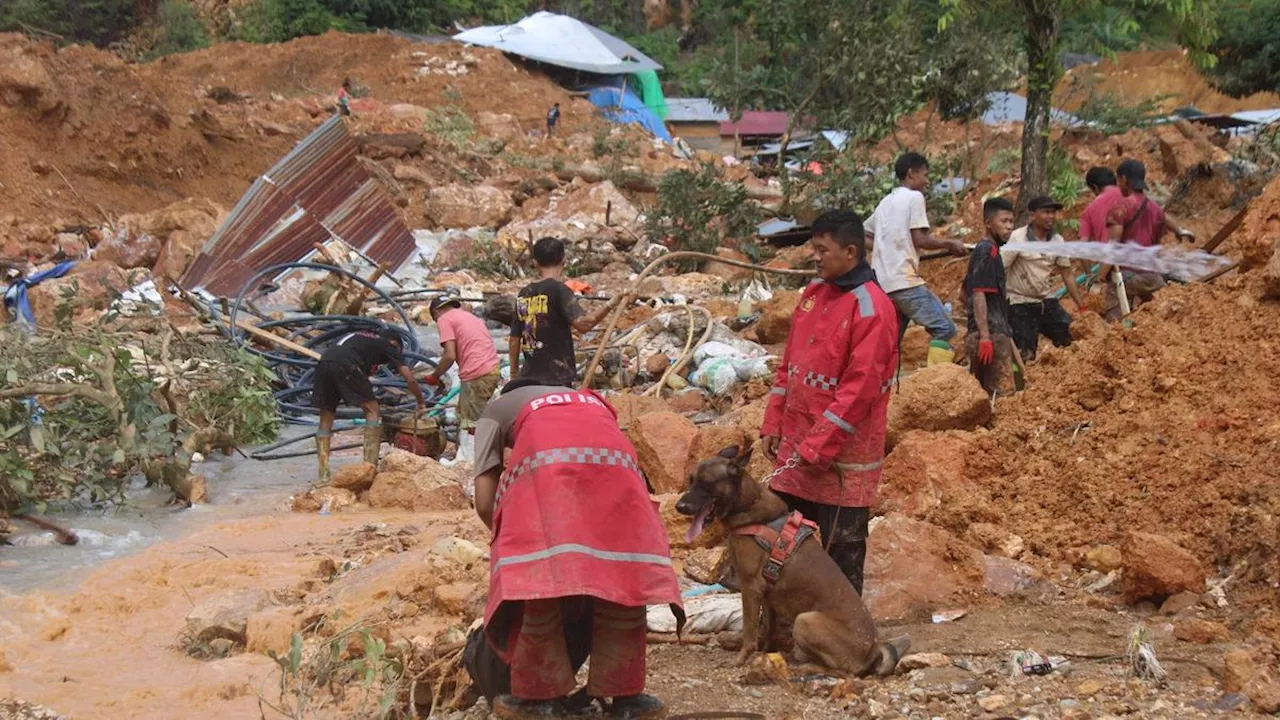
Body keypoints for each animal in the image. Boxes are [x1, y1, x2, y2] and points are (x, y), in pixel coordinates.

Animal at [675, 443, 906, 671]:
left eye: (705, 483)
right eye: (691, 481)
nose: (679, 507)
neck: (749, 504)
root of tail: (872, 651)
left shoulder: (750, 588)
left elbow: (749, 631)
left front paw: (741, 659)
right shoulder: (767, 594)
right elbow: (769, 630)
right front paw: (766, 654)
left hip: (805, 620)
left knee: (842, 670)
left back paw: (809, 667)